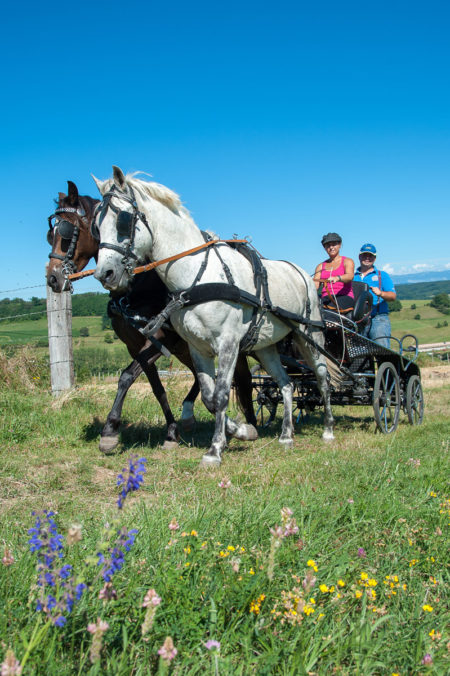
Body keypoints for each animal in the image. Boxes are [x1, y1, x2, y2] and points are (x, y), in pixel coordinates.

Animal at [47, 180, 256, 454]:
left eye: (66, 230)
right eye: (49, 235)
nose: (52, 278)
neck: (139, 285)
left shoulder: (161, 338)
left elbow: (126, 376)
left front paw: (110, 430)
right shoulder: (136, 344)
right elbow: (155, 387)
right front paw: (171, 432)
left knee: (243, 378)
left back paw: (250, 422)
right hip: (187, 347)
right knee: (201, 377)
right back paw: (191, 416)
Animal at [94, 167, 334, 468]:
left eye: (123, 220)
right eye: (96, 225)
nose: (104, 274)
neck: (196, 275)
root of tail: (301, 272)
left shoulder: (228, 344)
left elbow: (220, 396)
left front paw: (215, 449)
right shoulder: (197, 348)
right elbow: (209, 397)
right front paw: (243, 431)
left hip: (310, 337)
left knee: (323, 379)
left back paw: (327, 430)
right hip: (266, 347)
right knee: (287, 384)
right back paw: (286, 436)